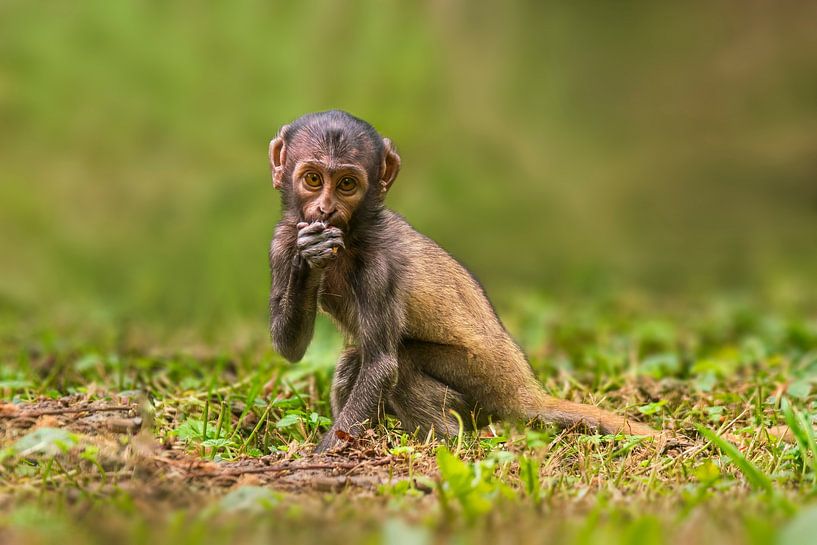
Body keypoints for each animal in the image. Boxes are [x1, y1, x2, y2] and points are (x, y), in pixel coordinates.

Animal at [268, 110, 661, 453]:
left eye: (347, 184)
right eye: (313, 179)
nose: (325, 210)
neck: (352, 234)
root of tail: (523, 391)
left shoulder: (381, 266)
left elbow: (382, 365)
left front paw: (324, 454)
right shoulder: (280, 241)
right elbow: (290, 347)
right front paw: (309, 257)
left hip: (481, 381)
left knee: (401, 363)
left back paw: (447, 441)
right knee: (354, 359)